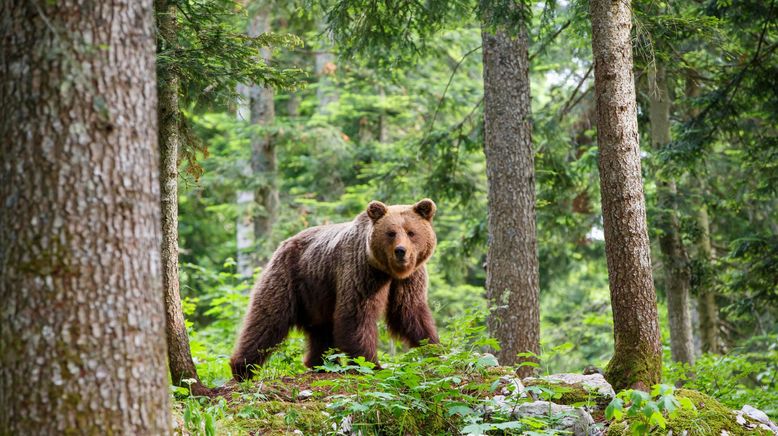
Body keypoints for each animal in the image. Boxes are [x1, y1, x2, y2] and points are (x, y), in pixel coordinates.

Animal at [229, 199, 436, 380]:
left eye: (411, 232)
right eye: (391, 233)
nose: (401, 251)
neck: (387, 271)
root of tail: (284, 243)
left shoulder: (409, 278)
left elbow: (409, 311)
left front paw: (433, 348)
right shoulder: (361, 271)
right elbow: (356, 314)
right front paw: (372, 364)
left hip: (317, 294)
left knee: (321, 330)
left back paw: (320, 363)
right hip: (289, 278)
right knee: (268, 319)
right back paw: (243, 368)